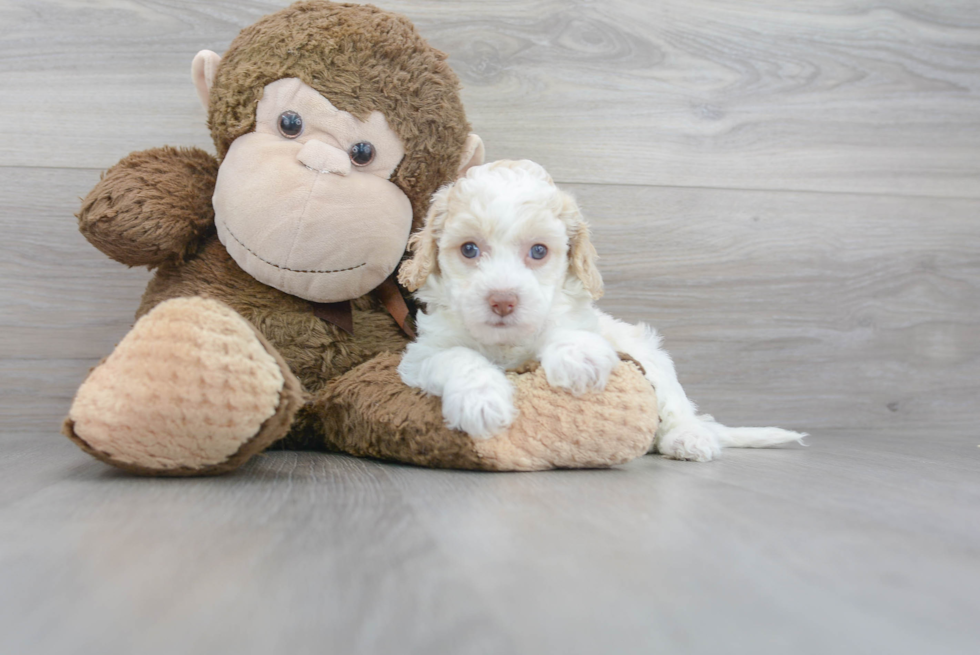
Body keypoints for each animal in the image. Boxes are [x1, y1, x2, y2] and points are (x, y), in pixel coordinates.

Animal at [398, 161, 804, 464]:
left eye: (539, 251)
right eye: (469, 249)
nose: (502, 300)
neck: (505, 344)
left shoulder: (580, 319)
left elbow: (566, 325)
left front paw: (578, 358)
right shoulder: (421, 355)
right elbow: (457, 356)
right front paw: (482, 401)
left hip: (651, 358)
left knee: (677, 407)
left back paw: (689, 439)